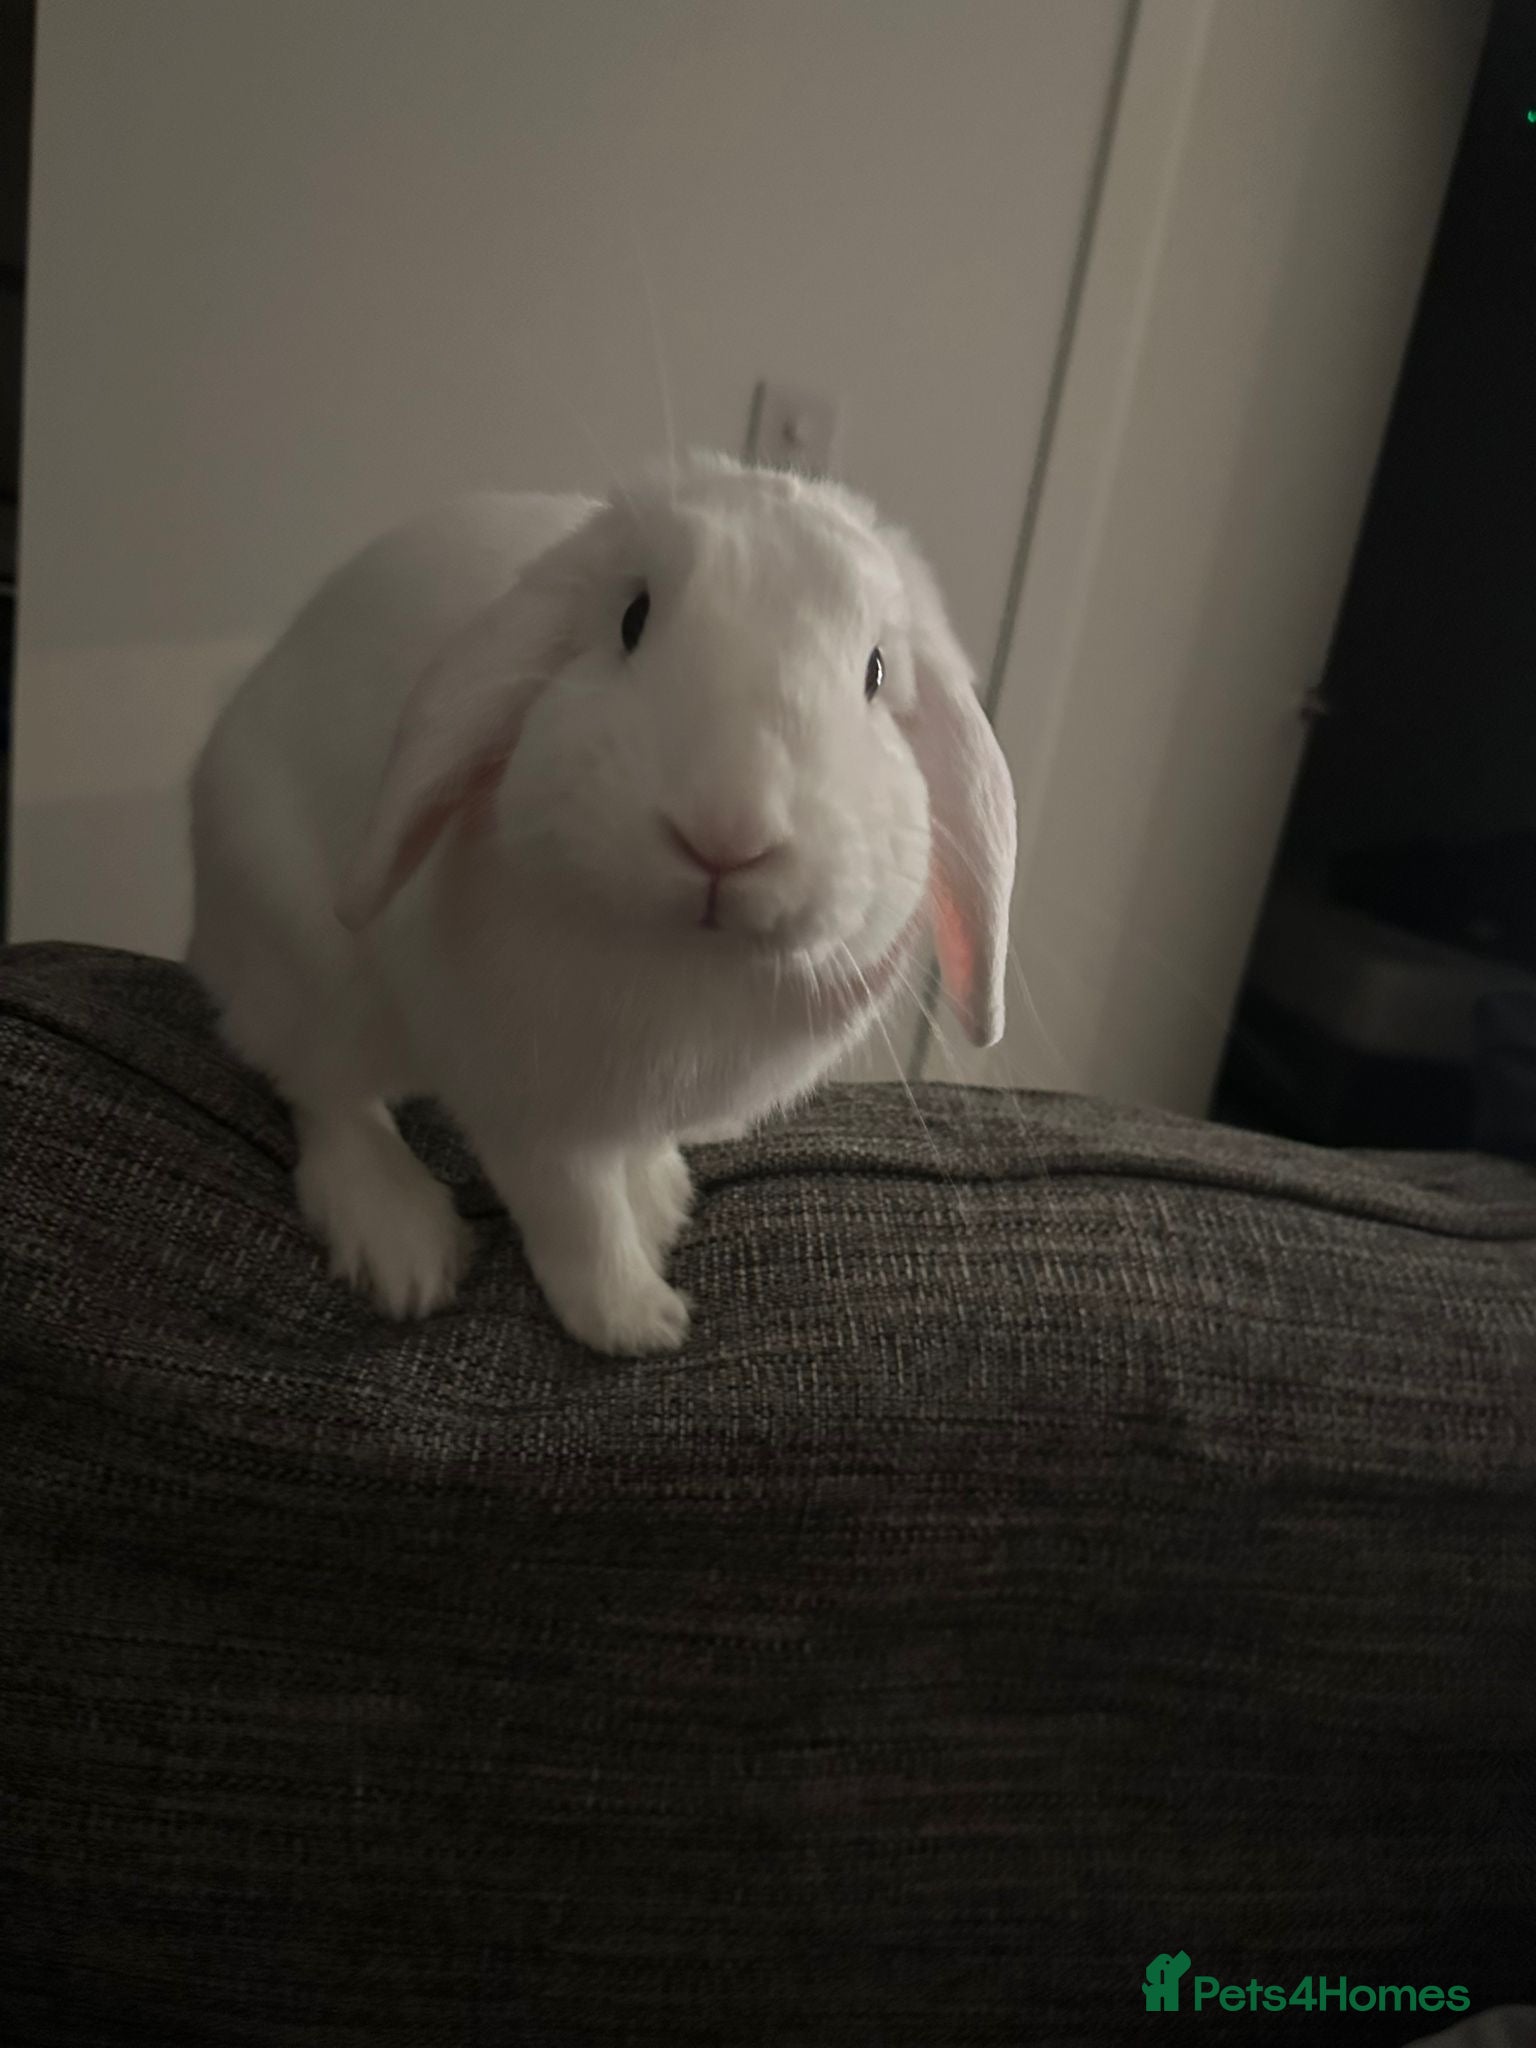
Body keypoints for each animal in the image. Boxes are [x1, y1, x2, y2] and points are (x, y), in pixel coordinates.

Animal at [188, 452, 1016, 1354]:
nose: (726, 833)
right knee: (320, 1087)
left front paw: (658, 1204)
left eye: (875, 673)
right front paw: (638, 1323)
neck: (686, 963)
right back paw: (402, 1246)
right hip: (305, 961)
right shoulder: (526, 1106)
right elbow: (577, 1215)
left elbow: (632, 1157)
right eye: (632, 618)